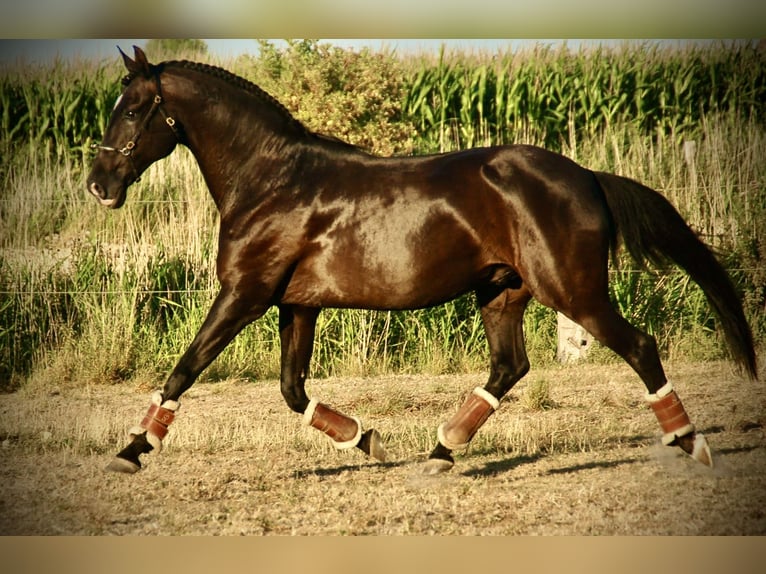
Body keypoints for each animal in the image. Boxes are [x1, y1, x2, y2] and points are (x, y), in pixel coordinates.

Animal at [87, 46, 757, 475]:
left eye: (132, 109)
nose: (99, 184)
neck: (272, 179)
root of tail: (586, 176)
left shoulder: (244, 294)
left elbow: (184, 369)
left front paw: (131, 451)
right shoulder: (296, 305)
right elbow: (292, 390)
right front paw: (368, 441)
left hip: (573, 291)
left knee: (639, 346)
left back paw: (689, 442)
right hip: (502, 291)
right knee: (509, 366)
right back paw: (440, 453)